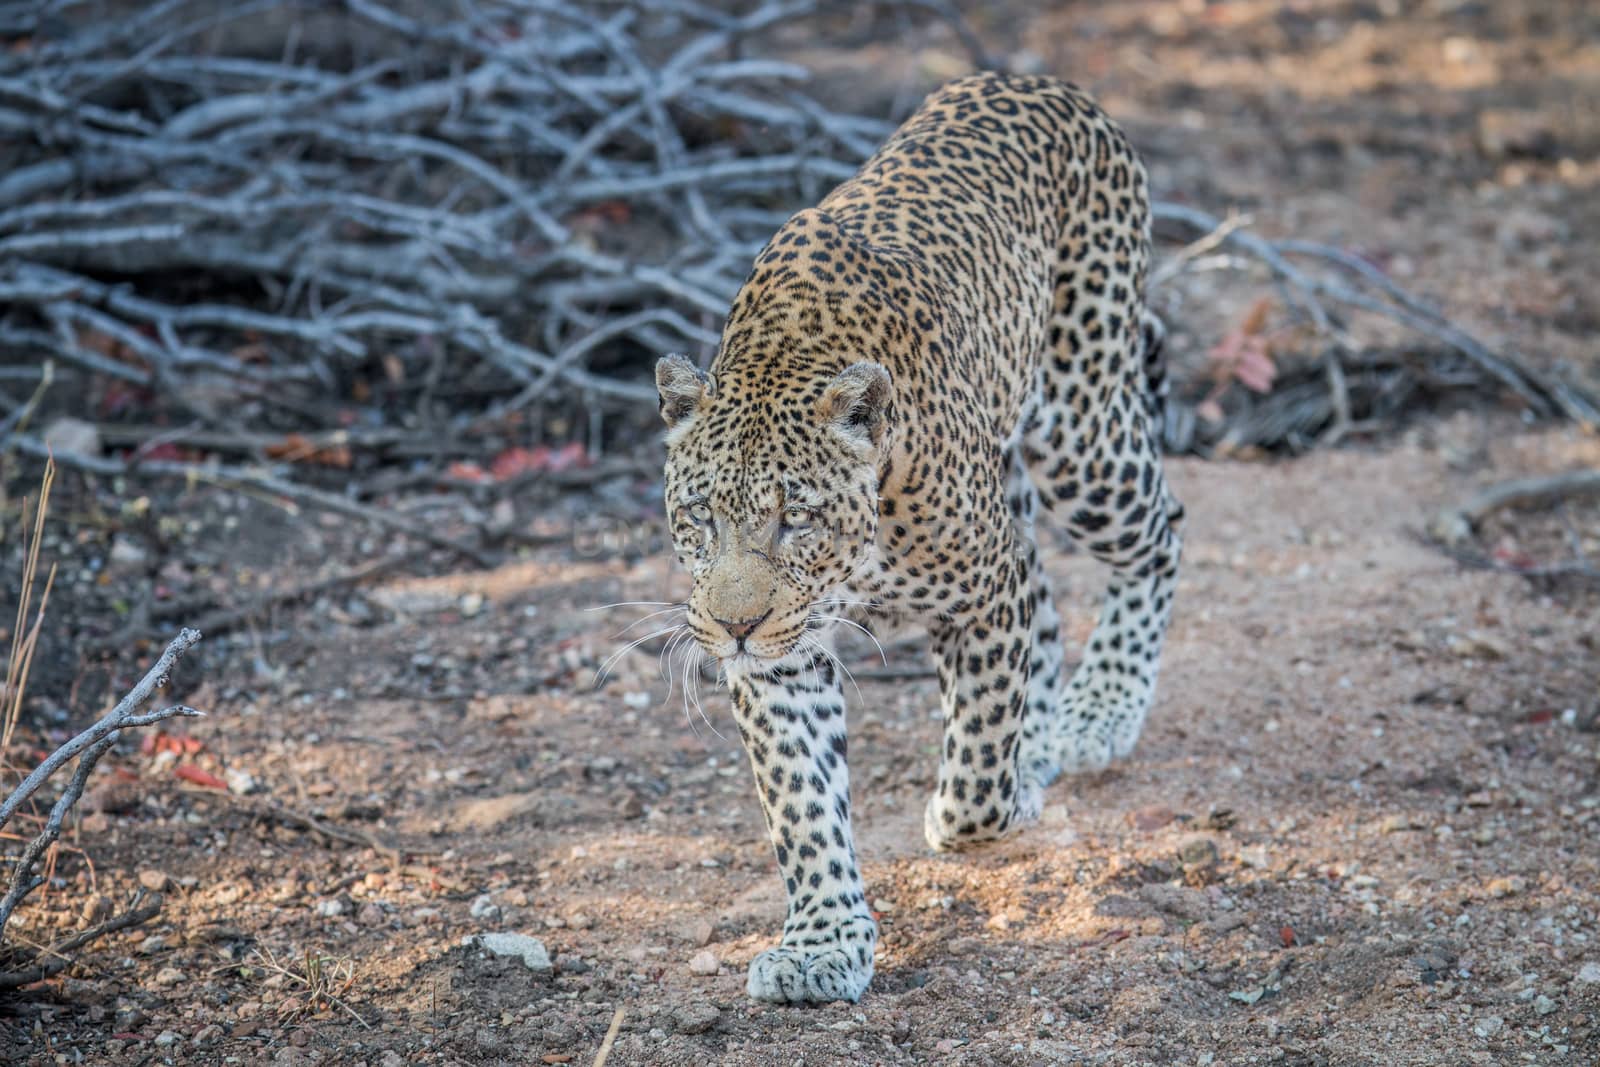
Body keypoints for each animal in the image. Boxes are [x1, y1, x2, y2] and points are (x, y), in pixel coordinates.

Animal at [652, 70, 1190, 1004]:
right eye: (699, 518)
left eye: (796, 517)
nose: (732, 627)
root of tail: (1037, 79)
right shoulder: (784, 658)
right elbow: (804, 803)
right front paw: (822, 943)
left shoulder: (983, 589)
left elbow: (977, 760)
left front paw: (984, 805)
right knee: (1054, 597)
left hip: (1082, 426)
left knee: (1160, 532)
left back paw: (1096, 712)